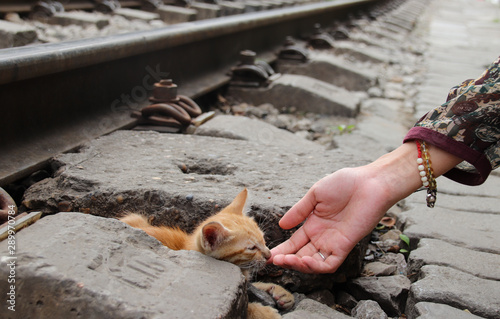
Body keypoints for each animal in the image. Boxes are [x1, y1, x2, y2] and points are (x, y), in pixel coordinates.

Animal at [120, 189, 292, 318]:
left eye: (263, 239)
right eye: (251, 248)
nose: (269, 255)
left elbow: (254, 285)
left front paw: (279, 292)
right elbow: (244, 306)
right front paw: (263, 312)